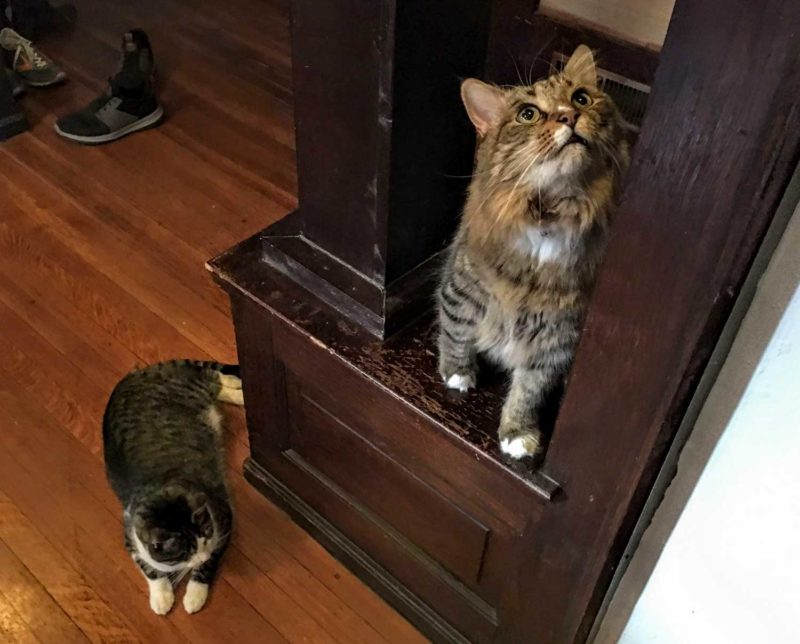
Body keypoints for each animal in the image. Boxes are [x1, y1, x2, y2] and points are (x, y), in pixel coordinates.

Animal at [102, 360, 244, 616]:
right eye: (186, 551)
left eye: (206, 536)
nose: (202, 555)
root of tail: (137, 374)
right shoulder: (130, 536)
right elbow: (149, 569)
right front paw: (161, 598)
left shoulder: (224, 517)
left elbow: (209, 564)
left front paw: (194, 596)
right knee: (214, 378)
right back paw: (237, 388)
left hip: (191, 389)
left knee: (213, 377)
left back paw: (241, 392)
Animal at [438, 45, 632, 458]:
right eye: (528, 114)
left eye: (581, 98)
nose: (569, 116)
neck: (552, 214)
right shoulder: (463, 287)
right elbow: (455, 330)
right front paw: (457, 373)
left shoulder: (558, 335)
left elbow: (529, 389)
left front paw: (517, 433)